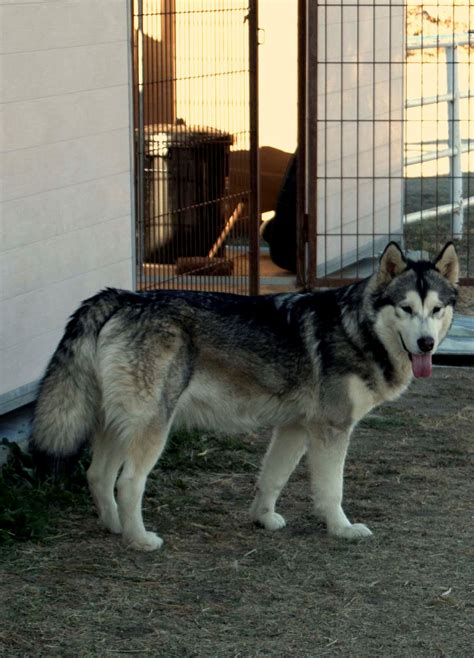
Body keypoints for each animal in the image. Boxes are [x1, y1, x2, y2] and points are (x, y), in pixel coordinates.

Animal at [30, 241, 460, 548]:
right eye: (406, 308)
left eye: (436, 309)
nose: (425, 344)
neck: (357, 330)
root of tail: (123, 296)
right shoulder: (331, 430)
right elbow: (331, 490)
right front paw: (342, 529)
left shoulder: (294, 428)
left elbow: (272, 478)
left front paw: (263, 519)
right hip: (152, 427)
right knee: (128, 482)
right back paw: (140, 540)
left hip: (117, 425)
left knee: (98, 475)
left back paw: (115, 528)